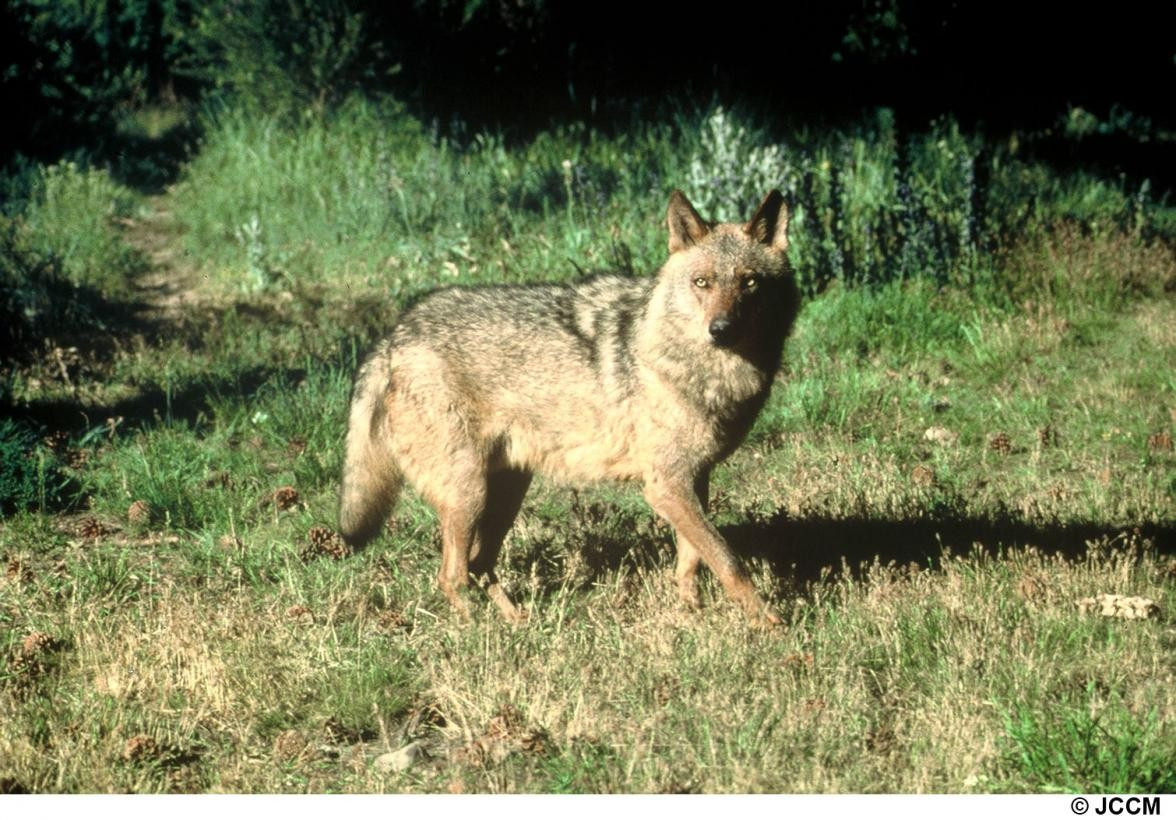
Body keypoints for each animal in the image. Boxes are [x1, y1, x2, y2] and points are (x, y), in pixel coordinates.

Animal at [339, 189, 800, 626]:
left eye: (750, 283)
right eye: (702, 282)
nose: (720, 330)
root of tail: (394, 335)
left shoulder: (694, 479)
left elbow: (692, 560)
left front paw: (691, 613)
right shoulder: (666, 486)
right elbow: (728, 560)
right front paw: (767, 623)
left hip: (504, 494)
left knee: (479, 566)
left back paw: (517, 623)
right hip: (468, 495)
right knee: (452, 576)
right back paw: (478, 632)